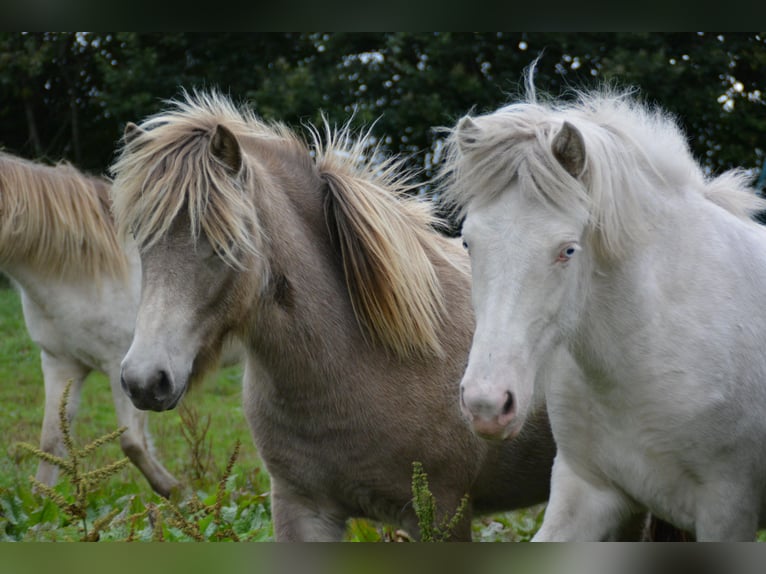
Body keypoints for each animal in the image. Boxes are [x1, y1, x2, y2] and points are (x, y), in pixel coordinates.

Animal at [0, 150, 239, 498]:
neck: (83, 270)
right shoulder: (60, 364)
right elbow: (50, 443)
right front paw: (44, 508)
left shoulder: (126, 369)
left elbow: (133, 444)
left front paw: (181, 494)